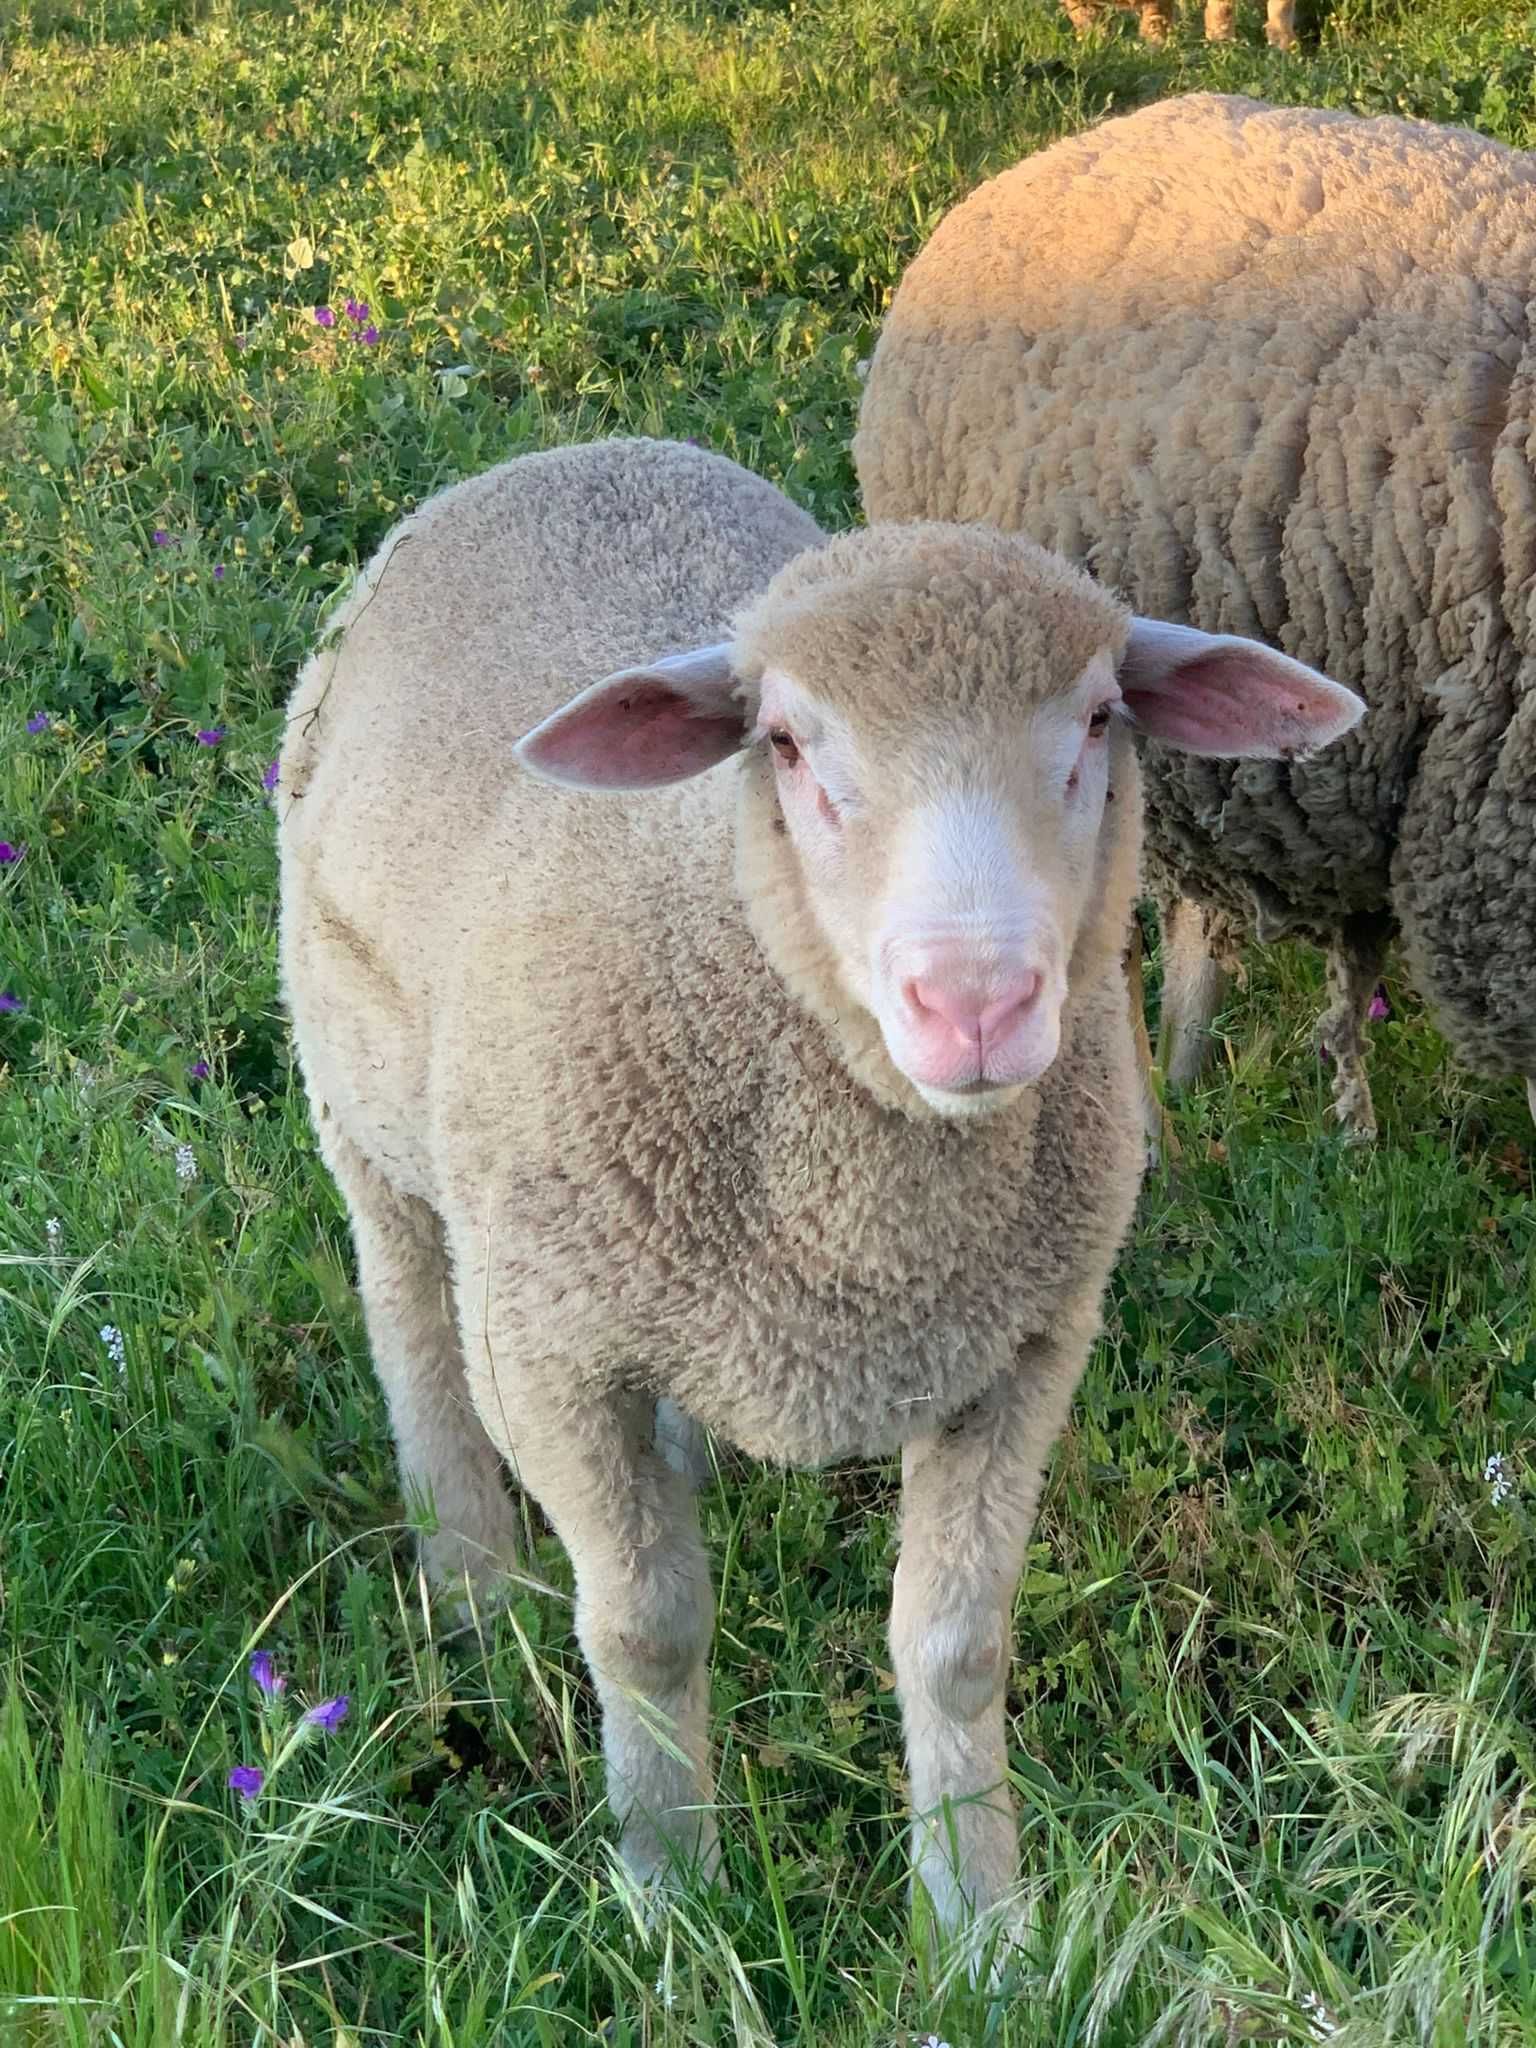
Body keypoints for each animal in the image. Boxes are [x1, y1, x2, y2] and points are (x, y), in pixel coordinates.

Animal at [274, 440, 1359, 1941]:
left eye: (1097, 721)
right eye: (786, 744)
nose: (975, 1001)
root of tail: (568, 452)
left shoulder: (1021, 1349)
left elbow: (955, 1646)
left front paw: (980, 1924)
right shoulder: (550, 1352)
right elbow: (643, 1628)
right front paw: (673, 1896)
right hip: (360, 1107)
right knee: (407, 1318)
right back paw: (472, 1583)